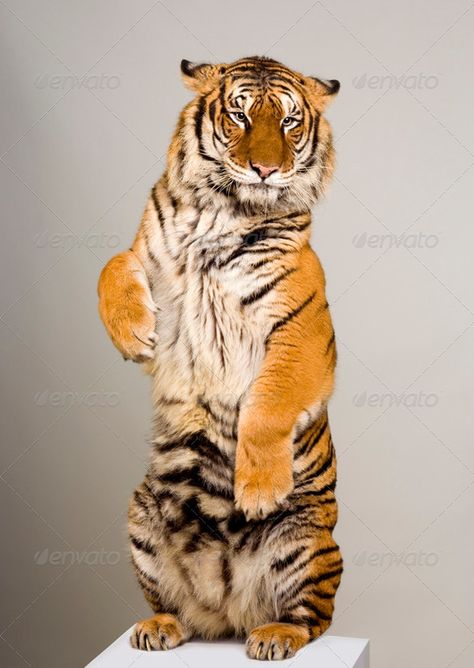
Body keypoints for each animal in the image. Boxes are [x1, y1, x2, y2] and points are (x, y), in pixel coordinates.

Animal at [97, 54, 340, 660]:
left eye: (289, 122)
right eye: (239, 115)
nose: (265, 171)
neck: (223, 210)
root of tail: (230, 610)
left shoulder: (302, 328)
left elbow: (269, 402)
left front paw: (257, 489)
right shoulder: (150, 265)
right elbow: (112, 265)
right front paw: (133, 334)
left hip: (306, 540)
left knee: (313, 619)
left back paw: (274, 636)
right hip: (141, 513)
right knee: (180, 610)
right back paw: (159, 627)